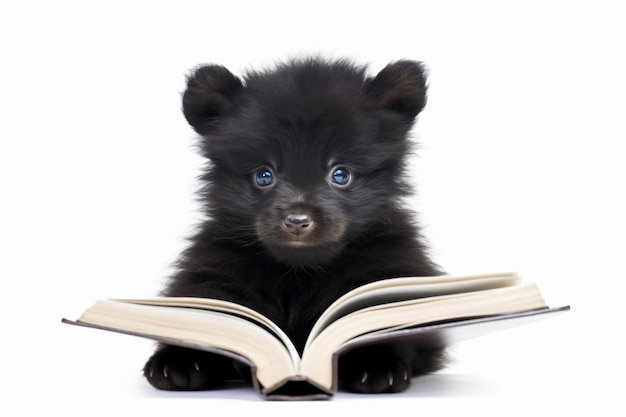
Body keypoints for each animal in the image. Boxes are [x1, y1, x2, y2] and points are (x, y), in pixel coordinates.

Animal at [144, 57, 444, 392]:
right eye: (263, 175)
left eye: (341, 174)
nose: (298, 220)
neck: (299, 272)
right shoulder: (214, 273)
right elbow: (209, 316)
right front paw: (180, 359)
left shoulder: (388, 269)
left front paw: (377, 363)